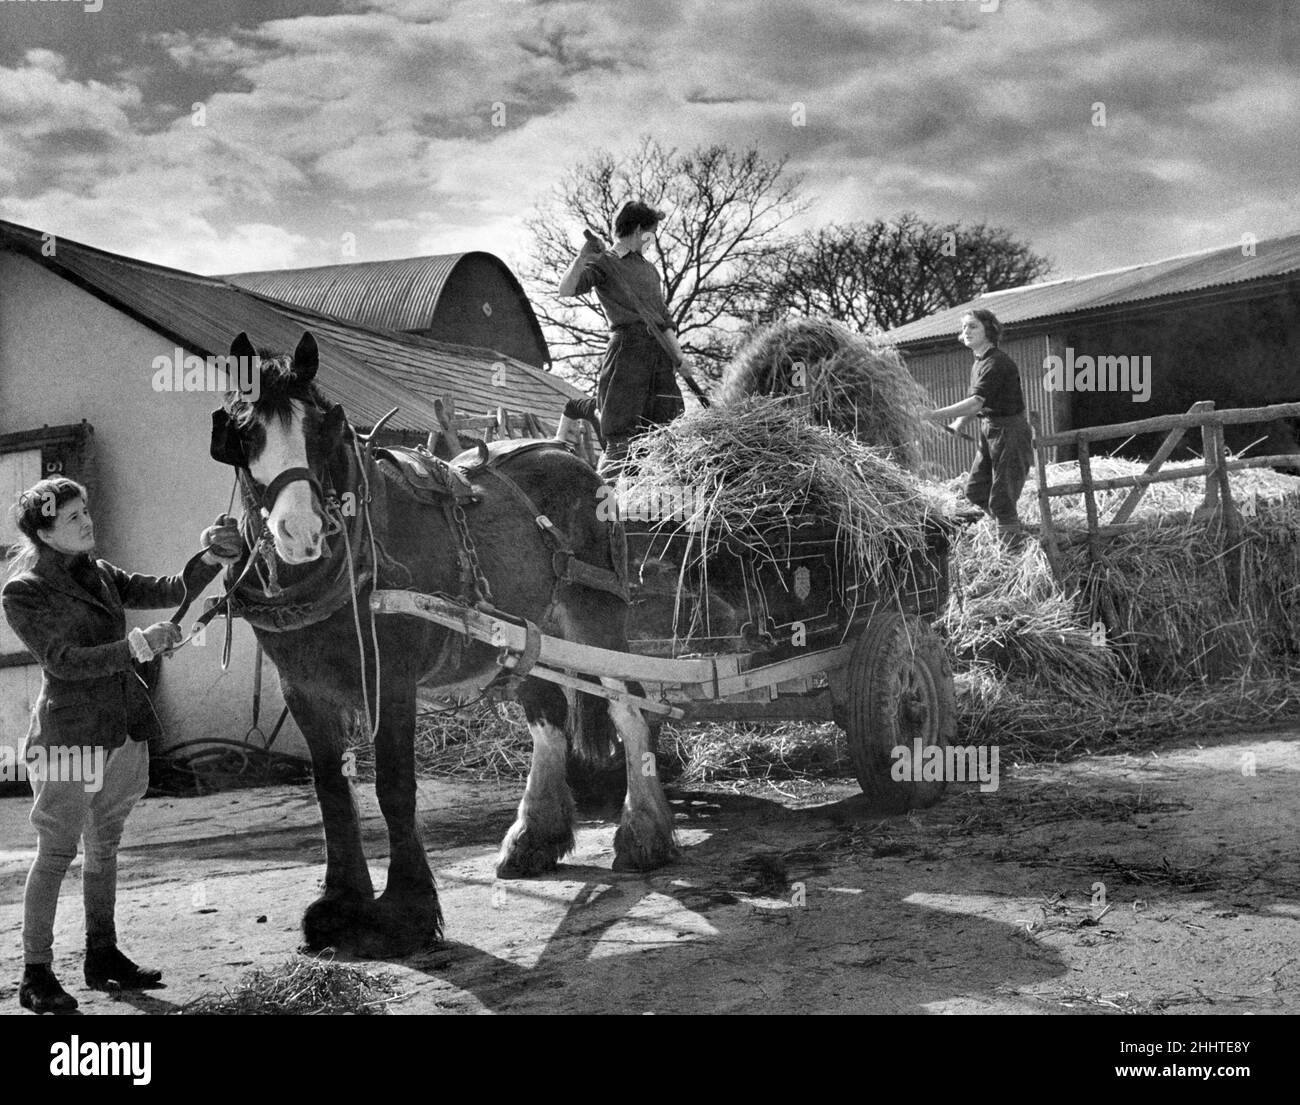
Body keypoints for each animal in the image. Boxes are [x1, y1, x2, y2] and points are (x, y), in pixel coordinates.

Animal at [208, 328, 676, 956]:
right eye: (245, 433)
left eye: (323, 428)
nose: (300, 533)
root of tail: (570, 453)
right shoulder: (302, 687)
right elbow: (331, 789)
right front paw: (340, 906)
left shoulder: (392, 678)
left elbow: (393, 786)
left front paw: (406, 913)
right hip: (530, 635)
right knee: (549, 720)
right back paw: (535, 836)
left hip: (595, 617)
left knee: (629, 708)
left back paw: (645, 833)